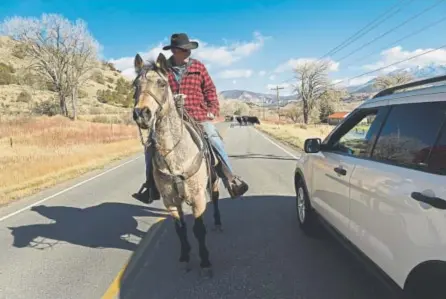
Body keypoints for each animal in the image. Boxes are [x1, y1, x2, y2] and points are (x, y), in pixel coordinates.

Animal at [132, 52, 223, 278]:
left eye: (161, 83)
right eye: (135, 85)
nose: (141, 113)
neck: (174, 157)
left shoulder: (198, 198)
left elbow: (198, 229)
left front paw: (205, 262)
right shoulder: (170, 201)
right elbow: (180, 229)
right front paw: (184, 257)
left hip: (214, 180)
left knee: (216, 198)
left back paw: (218, 222)